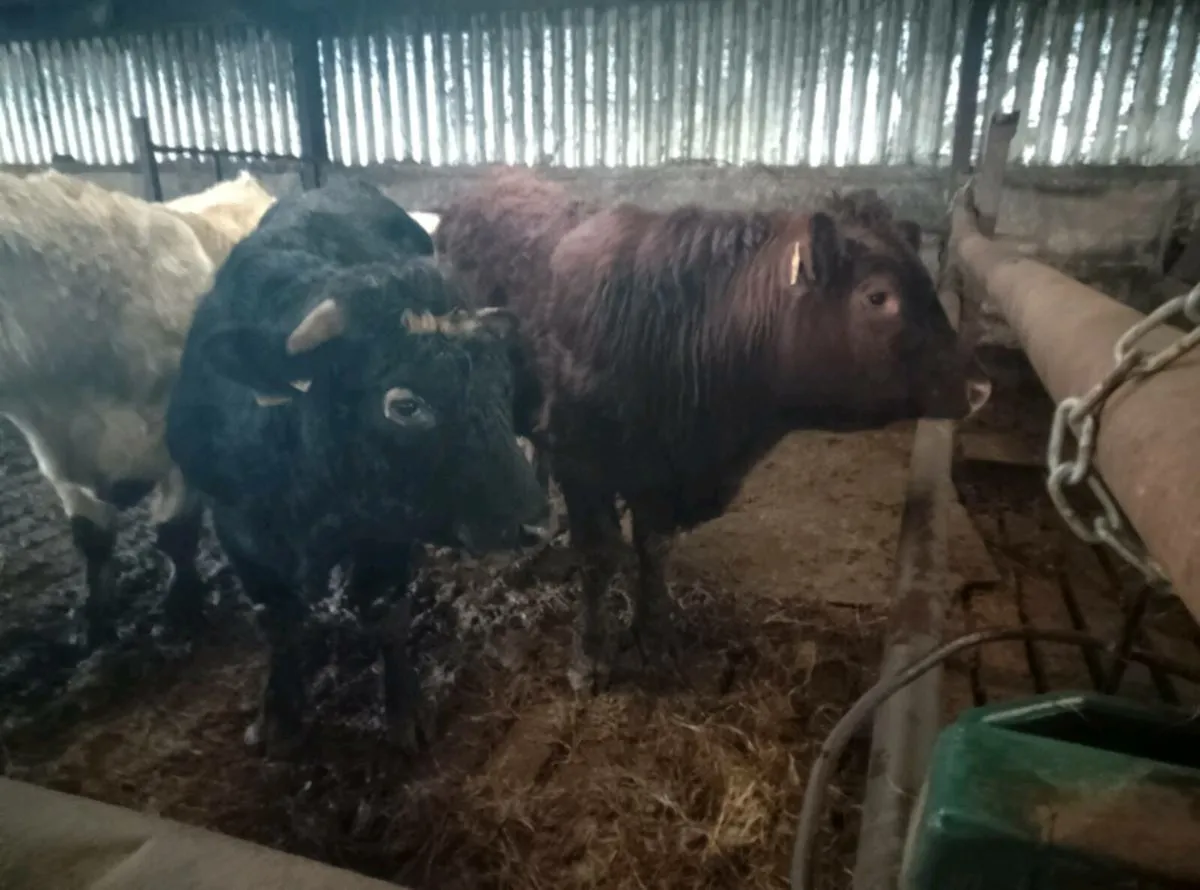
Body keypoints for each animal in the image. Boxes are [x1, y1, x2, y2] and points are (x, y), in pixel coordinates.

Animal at [164, 178, 550, 754]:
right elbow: (277, 622)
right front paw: (279, 711)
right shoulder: (237, 530)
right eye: (405, 404)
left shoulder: (387, 529)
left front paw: (404, 708)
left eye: (502, 384)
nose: (536, 520)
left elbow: (384, 612)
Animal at [436, 167, 992, 692]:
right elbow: (598, 557)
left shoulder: (661, 479)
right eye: (878, 296)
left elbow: (653, 551)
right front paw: (590, 656)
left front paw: (656, 639)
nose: (980, 385)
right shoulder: (584, 466)